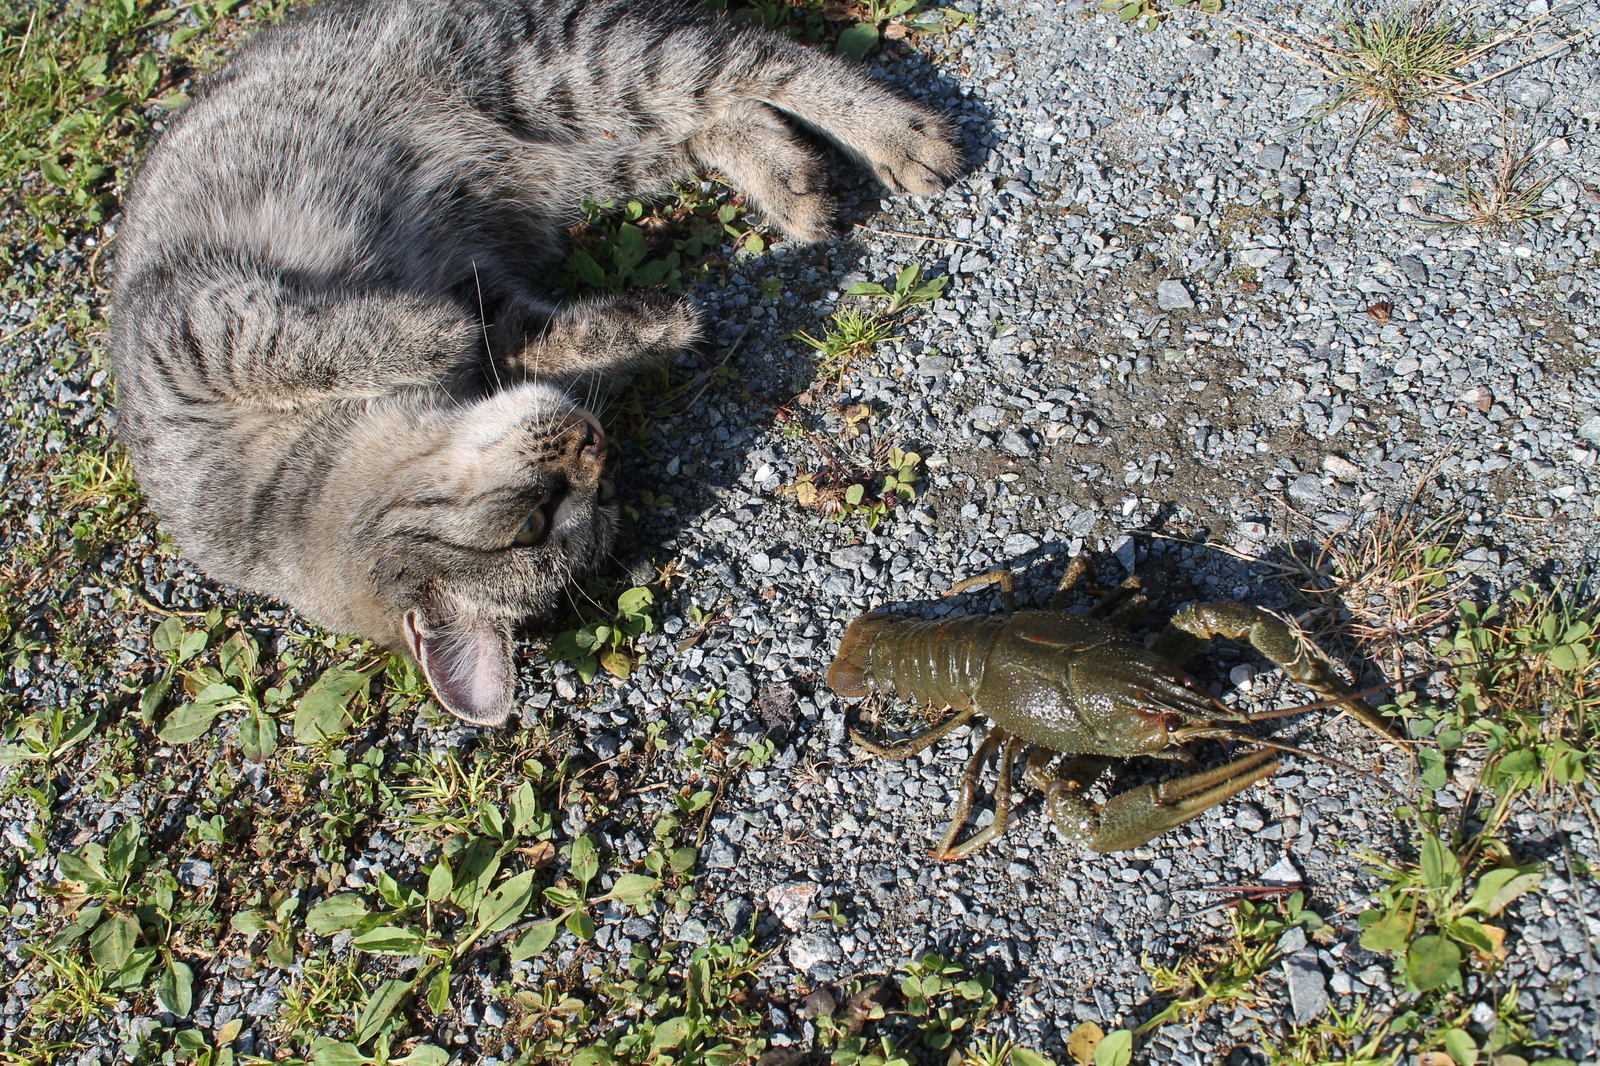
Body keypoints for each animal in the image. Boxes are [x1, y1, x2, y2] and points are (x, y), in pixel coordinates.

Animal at [112, 0, 960, 723]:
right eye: (549, 522)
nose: (593, 445)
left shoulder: (196, 330)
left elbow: (310, 344)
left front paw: (428, 334)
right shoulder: (482, 289)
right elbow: (536, 339)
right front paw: (650, 328)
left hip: (567, 67)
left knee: (760, 60)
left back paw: (899, 131)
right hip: (594, 152)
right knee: (711, 118)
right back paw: (788, 176)